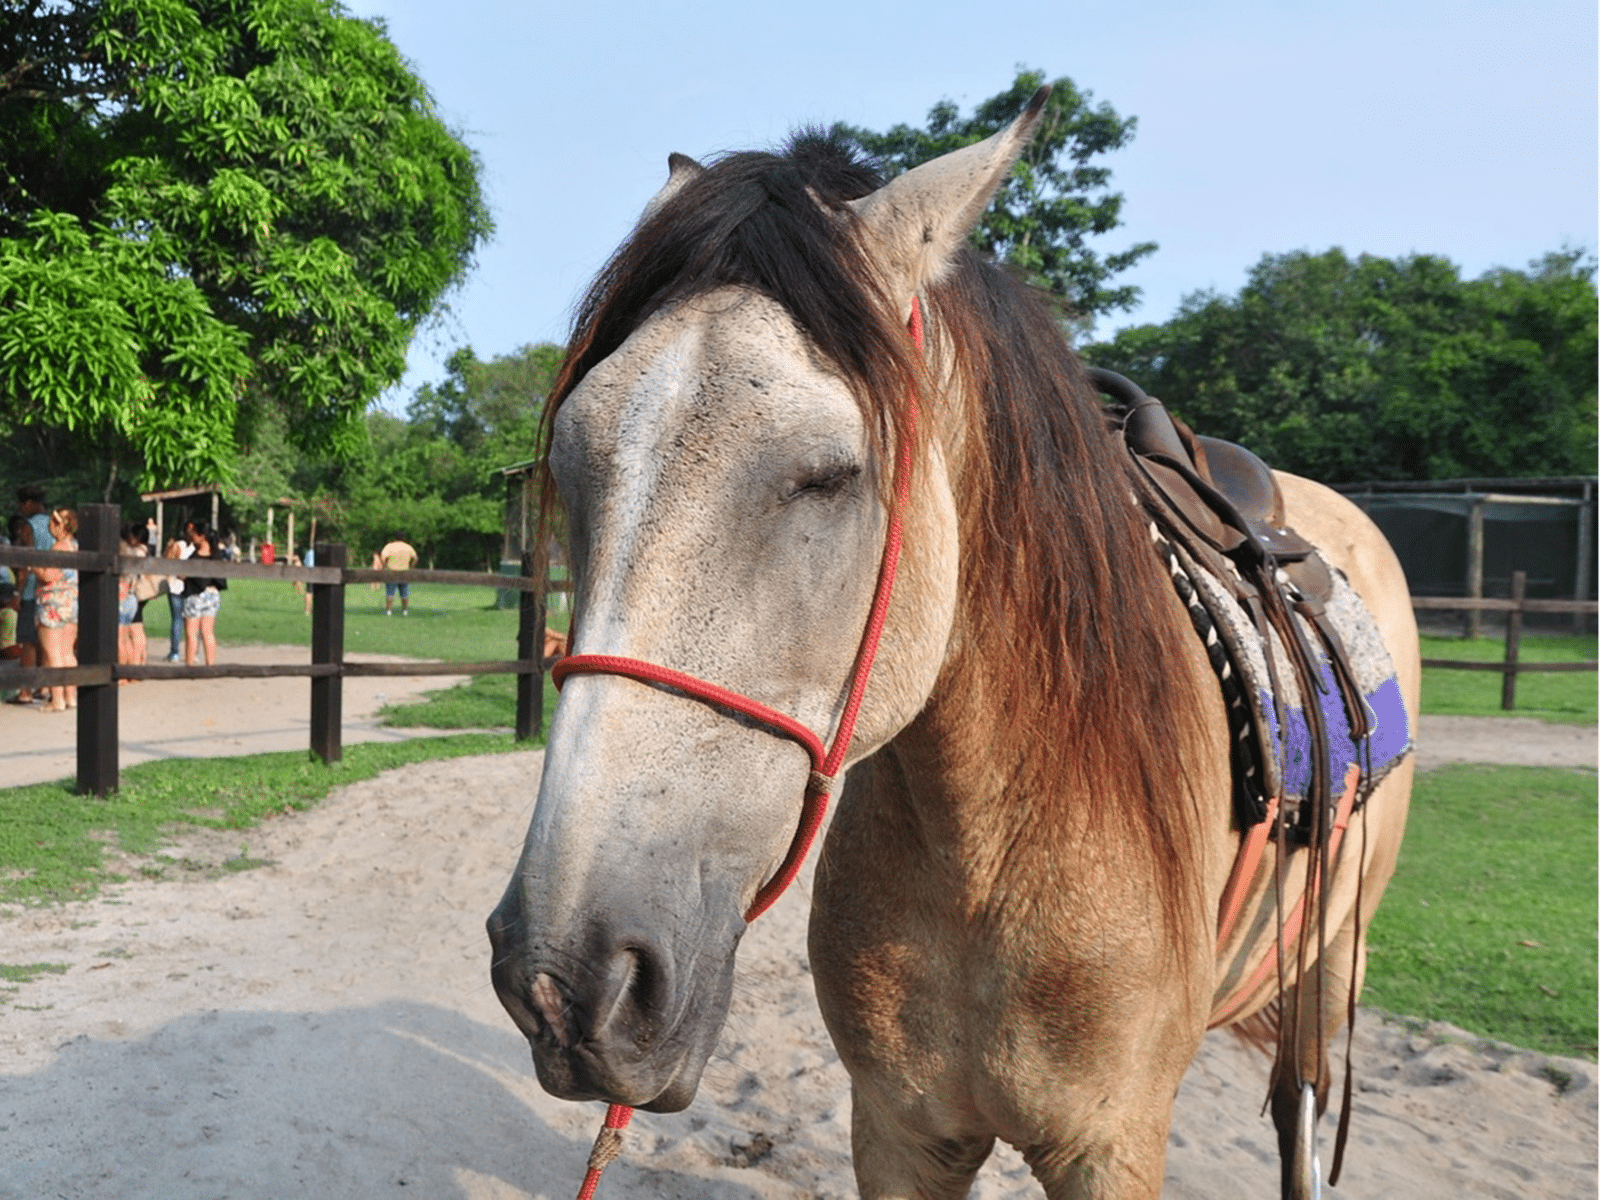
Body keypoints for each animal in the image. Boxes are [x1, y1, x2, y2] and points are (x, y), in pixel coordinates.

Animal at [486, 91, 1414, 1200]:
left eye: (831, 476)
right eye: (573, 466)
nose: (566, 980)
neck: (995, 849)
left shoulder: (1112, 1145)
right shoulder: (900, 1131)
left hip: (1332, 970)